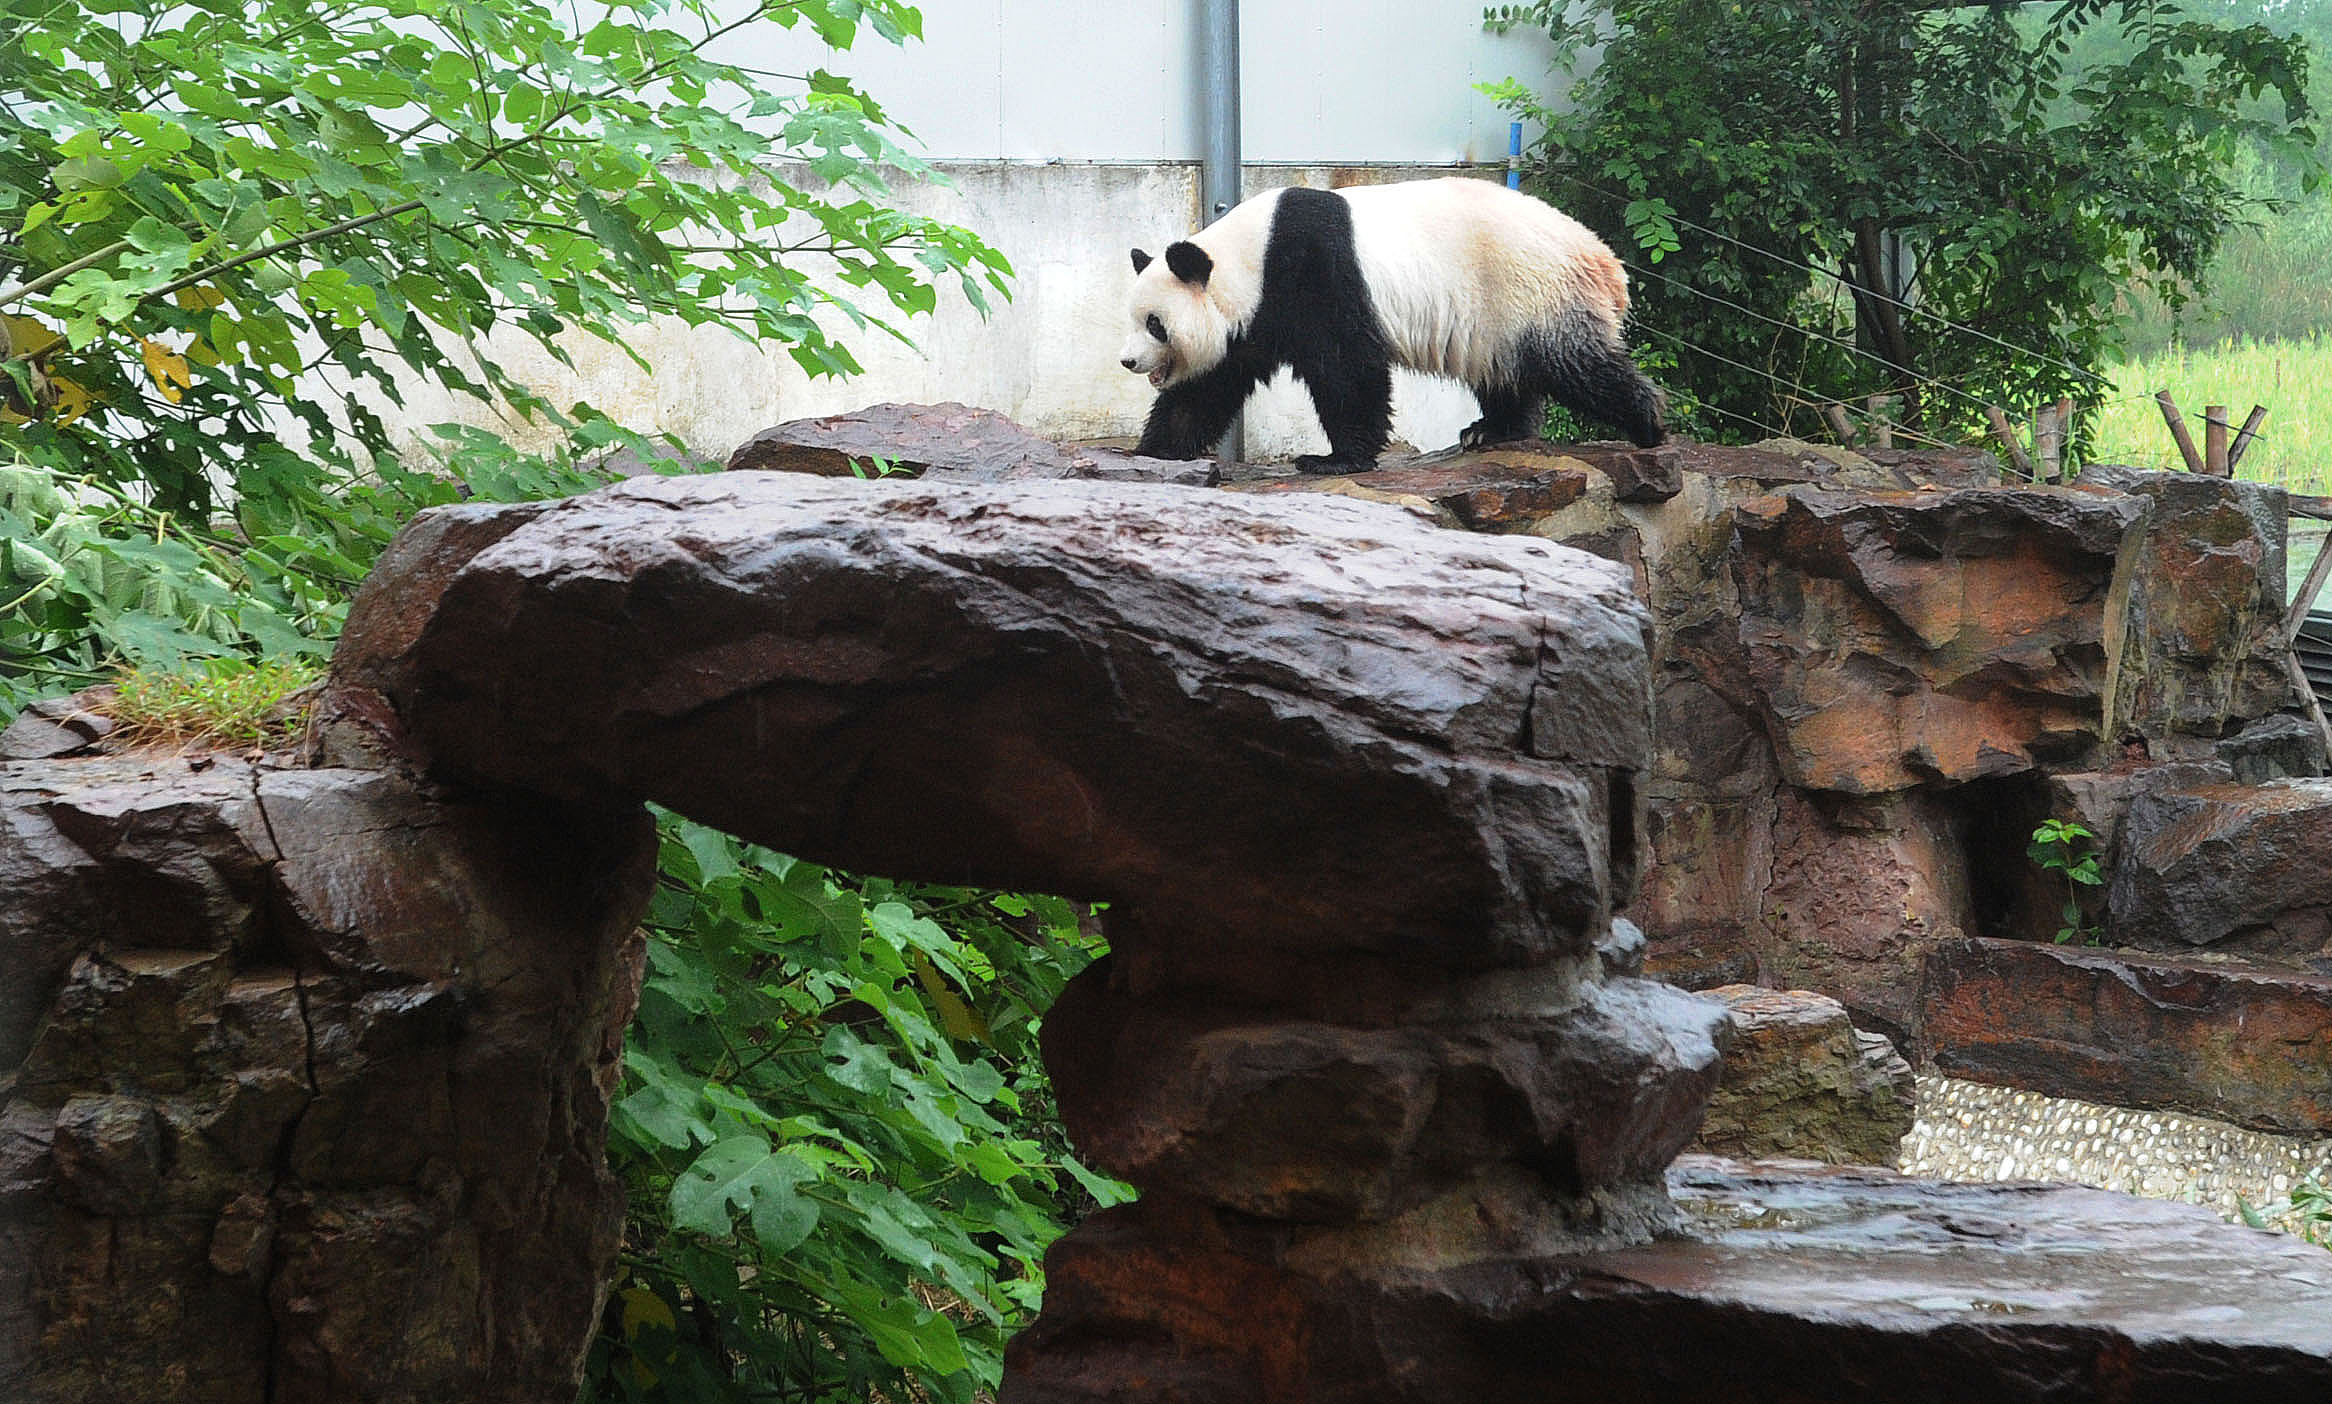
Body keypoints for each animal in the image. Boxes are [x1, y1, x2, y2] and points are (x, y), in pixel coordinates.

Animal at [1119, 176, 1669, 464]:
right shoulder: (1253, 319)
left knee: (1575, 364)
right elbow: (1206, 388)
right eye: (1135, 320)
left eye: (1155, 324)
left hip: (1530, 290)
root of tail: (1605, 260)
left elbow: (1347, 367)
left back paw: (1648, 425)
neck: (1249, 256)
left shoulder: (1314, 272)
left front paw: (1335, 459)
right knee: (1508, 373)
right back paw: (1490, 432)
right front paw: (1152, 452)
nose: (1127, 362)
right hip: (1499, 318)